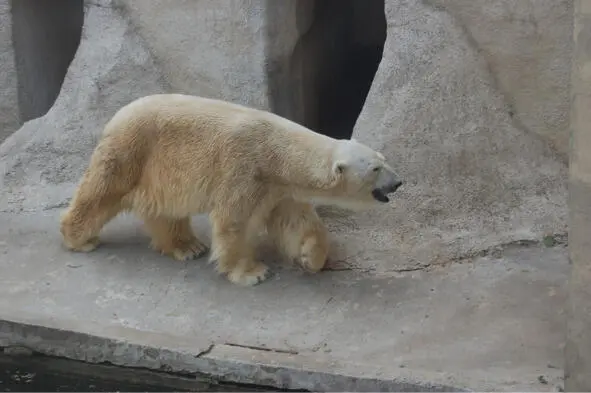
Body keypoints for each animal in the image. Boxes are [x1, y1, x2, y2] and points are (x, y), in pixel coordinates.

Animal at [60, 94, 402, 284]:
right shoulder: (244, 168)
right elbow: (233, 220)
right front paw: (252, 272)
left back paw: (187, 246)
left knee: (167, 209)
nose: (398, 182)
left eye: (384, 159)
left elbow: (297, 221)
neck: (277, 152)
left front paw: (310, 257)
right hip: (133, 150)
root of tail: (117, 115)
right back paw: (79, 238)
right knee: (102, 191)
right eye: (375, 169)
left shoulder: (279, 187)